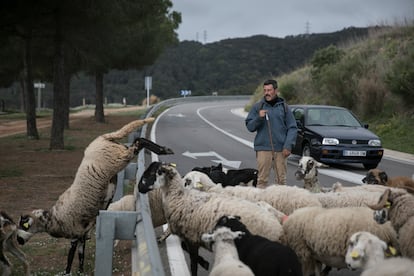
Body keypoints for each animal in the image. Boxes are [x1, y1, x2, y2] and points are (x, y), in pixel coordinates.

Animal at [17, 118, 173, 274]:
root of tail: (102, 138)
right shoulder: (82, 234)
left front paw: (68, 272)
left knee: (138, 142)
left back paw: (163, 151)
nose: (19, 241)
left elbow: (70, 257)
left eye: (22, 225)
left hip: (119, 157)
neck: (53, 218)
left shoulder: (74, 235)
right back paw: (164, 149)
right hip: (119, 152)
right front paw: (80, 272)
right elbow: (81, 255)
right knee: (138, 141)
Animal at [139, 162, 284, 276]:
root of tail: (278, 228)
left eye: (154, 173)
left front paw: (203, 263)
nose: (140, 188)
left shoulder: (191, 237)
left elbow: (193, 263)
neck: (180, 197)